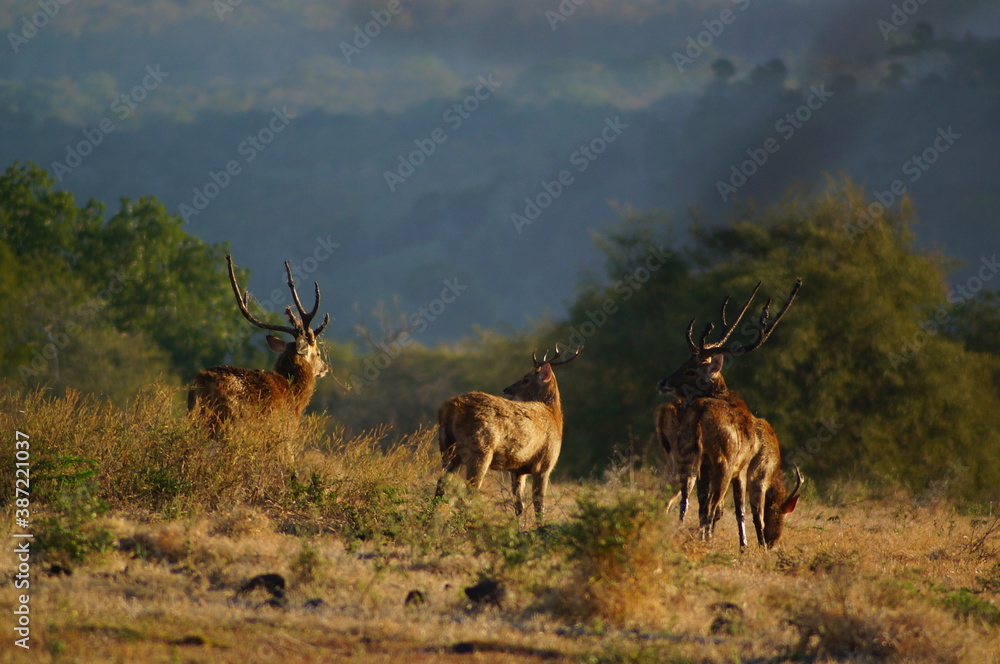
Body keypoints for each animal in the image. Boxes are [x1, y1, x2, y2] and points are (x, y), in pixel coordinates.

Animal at [187, 255, 331, 436]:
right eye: (318, 353)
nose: (325, 368)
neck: (294, 397)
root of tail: (203, 381)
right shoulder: (283, 432)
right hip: (228, 421)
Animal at [435, 345, 582, 520]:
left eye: (526, 379)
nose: (506, 389)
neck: (554, 415)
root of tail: (449, 407)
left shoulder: (517, 469)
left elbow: (519, 506)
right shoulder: (544, 463)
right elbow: (539, 506)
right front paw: (541, 526)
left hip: (446, 448)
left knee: (439, 488)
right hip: (480, 450)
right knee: (467, 494)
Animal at [656, 279, 803, 548]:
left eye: (690, 368)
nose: (663, 382)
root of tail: (700, 410)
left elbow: (707, 506)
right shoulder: (745, 469)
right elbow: (741, 511)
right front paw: (747, 545)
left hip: (689, 455)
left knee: (686, 499)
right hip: (723, 462)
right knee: (711, 504)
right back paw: (705, 539)